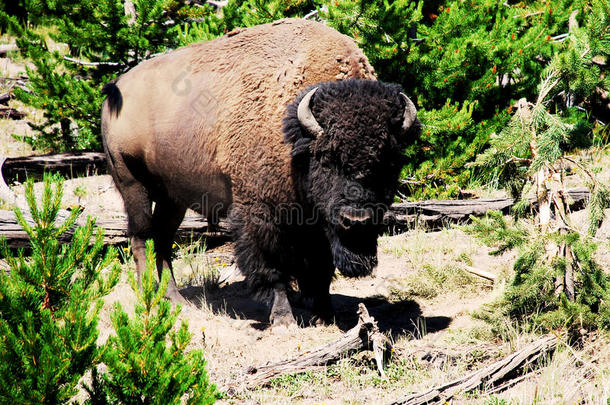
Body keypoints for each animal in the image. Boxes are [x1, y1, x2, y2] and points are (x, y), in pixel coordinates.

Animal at [103, 19, 418, 328]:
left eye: (388, 161)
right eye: (327, 158)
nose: (357, 220)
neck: (297, 141)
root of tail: (117, 86)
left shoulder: (317, 222)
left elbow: (321, 268)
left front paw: (324, 315)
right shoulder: (261, 214)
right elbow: (273, 268)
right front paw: (283, 319)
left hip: (173, 196)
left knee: (163, 238)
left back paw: (175, 298)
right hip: (132, 182)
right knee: (141, 237)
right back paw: (148, 295)